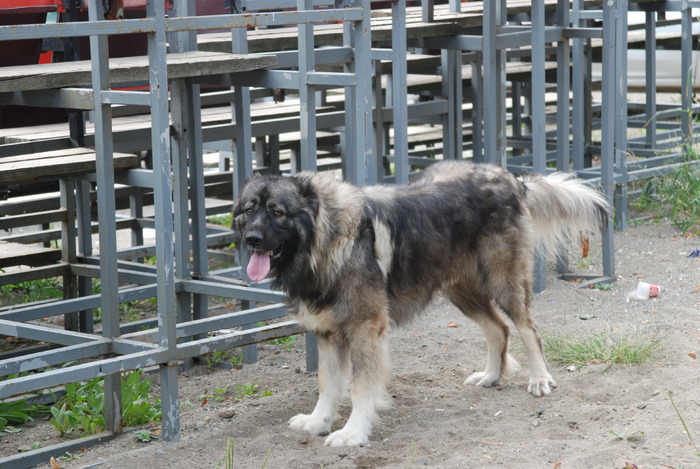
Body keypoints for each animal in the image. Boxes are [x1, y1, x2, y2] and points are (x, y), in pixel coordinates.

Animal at [232, 161, 608, 446]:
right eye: (249, 210)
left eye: (278, 212)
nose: (252, 239)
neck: (325, 240)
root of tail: (510, 178)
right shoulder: (327, 333)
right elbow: (328, 384)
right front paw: (318, 421)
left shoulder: (365, 328)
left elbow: (359, 387)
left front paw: (353, 433)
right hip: (461, 291)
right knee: (499, 329)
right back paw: (491, 375)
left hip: (503, 282)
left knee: (528, 327)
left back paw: (539, 378)